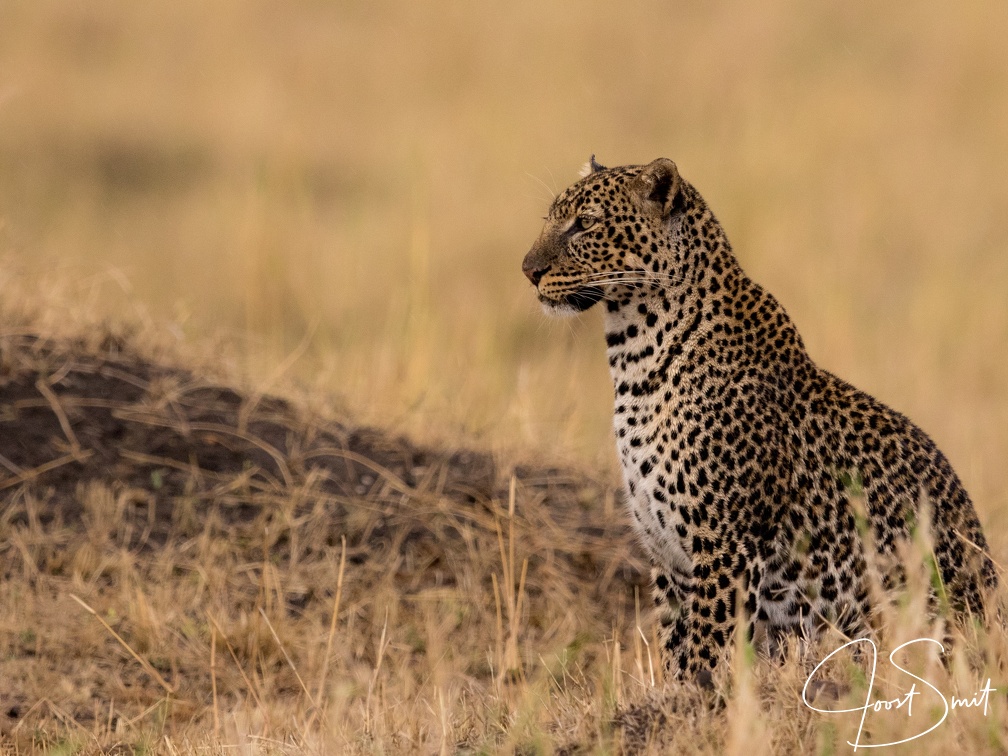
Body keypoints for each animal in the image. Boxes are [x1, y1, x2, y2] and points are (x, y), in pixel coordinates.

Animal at [522, 156, 997, 682]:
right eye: (550, 219)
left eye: (585, 224)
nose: (528, 270)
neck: (634, 357)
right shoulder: (667, 556)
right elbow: (675, 650)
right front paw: (673, 698)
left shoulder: (724, 548)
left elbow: (705, 653)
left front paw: (699, 701)